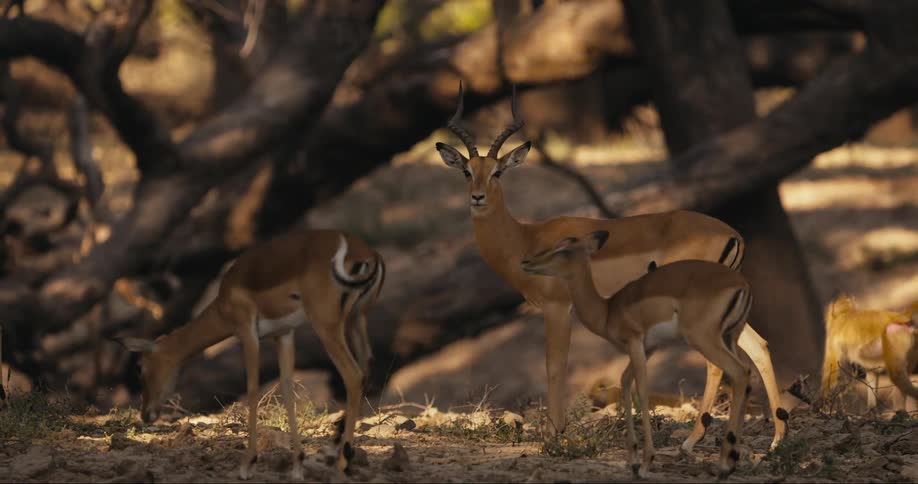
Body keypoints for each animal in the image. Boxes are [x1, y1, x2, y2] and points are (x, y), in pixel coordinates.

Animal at [118, 230, 385, 480]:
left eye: (140, 367)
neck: (224, 301)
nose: (146, 413)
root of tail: (369, 253)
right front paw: (297, 465)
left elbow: (253, 388)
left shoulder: (248, 333)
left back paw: (342, 462)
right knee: (367, 370)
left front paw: (247, 464)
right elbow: (287, 389)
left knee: (353, 376)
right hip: (357, 319)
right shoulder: (284, 334)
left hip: (327, 326)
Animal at [435, 82, 786, 451]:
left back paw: (693, 440)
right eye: (467, 171)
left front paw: (553, 434)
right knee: (759, 348)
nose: (477, 198)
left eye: (498, 172)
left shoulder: (558, 309)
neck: (525, 237)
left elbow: (554, 365)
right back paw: (776, 439)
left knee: (717, 364)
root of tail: (734, 234)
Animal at [521, 231, 753, 478]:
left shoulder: (634, 342)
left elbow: (641, 388)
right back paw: (731, 458)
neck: (607, 311)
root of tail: (742, 285)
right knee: (746, 375)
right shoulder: (649, 348)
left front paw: (645, 463)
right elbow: (624, 381)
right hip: (730, 338)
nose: (526, 262)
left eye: (563, 249)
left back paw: (724, 464)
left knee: (739, 372)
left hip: (704, 339)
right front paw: (632, 459)